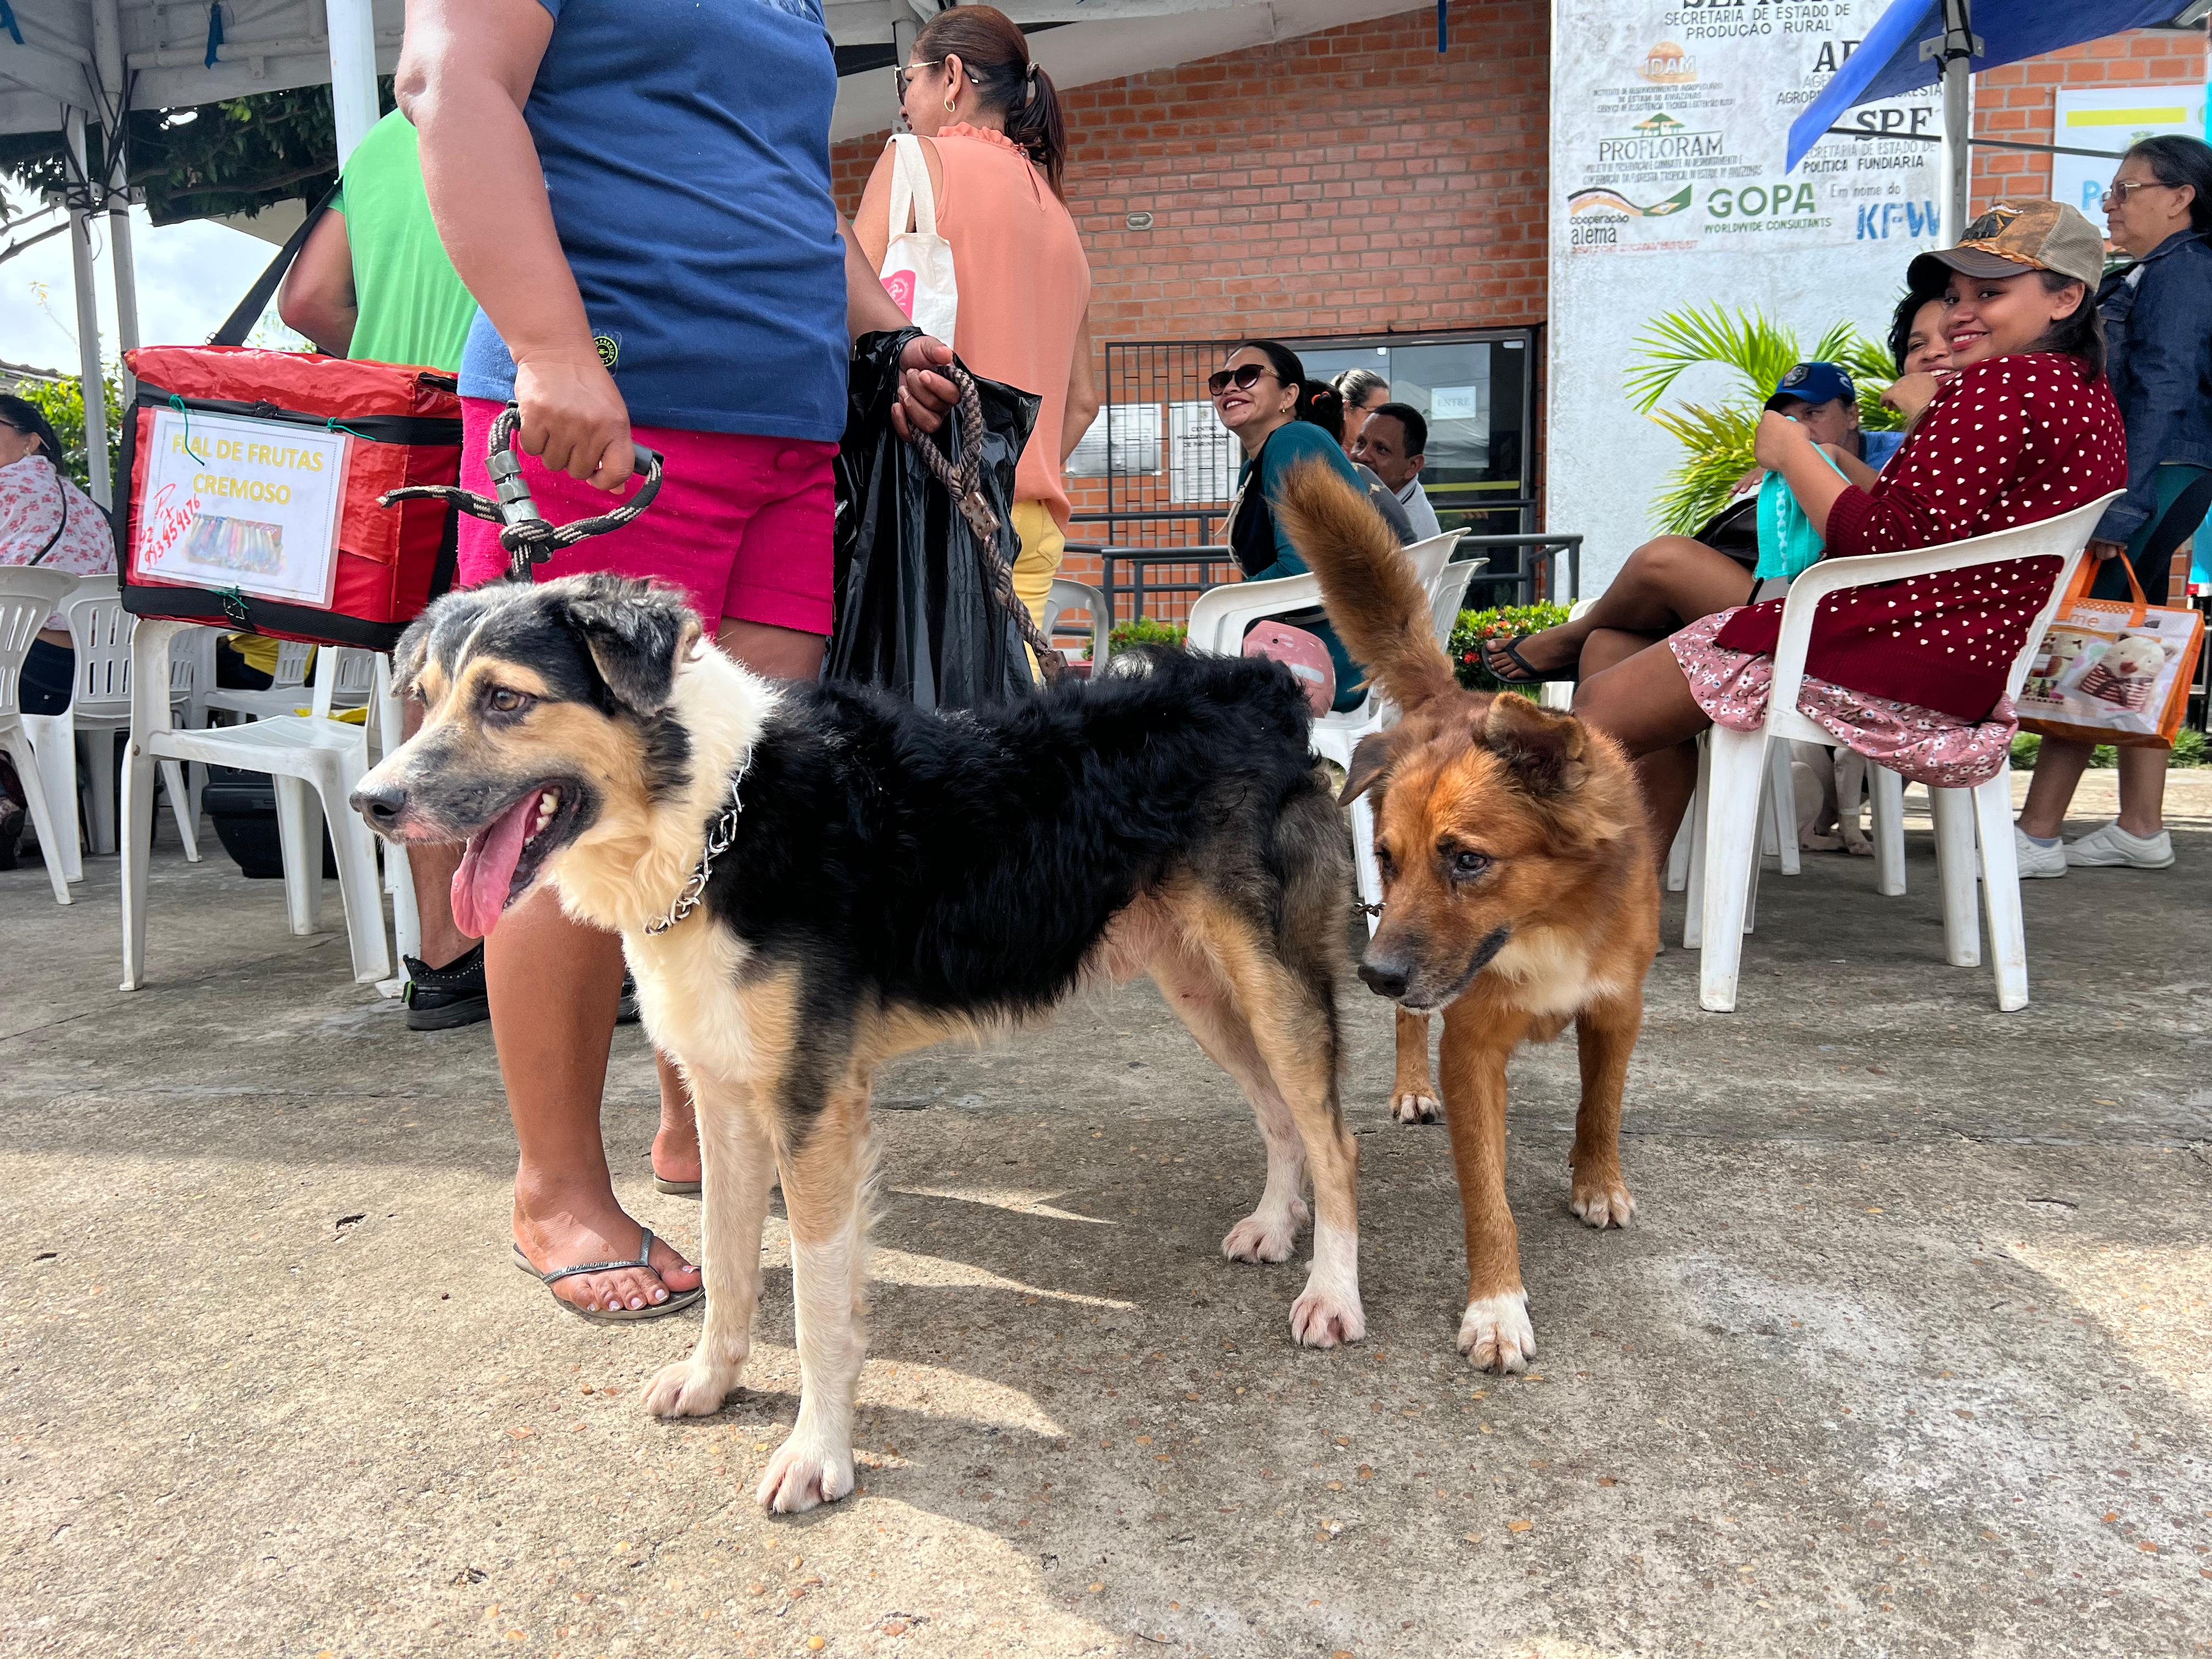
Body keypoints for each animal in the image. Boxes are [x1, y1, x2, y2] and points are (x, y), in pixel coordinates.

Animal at [352, 575, 1353, 1522]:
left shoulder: (812, 1108)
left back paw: (1334, 1294)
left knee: (1332, 1137)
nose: (371, 802)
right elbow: (725, 1261)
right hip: (1201, 987)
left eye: (505, 699)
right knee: (1279, 1114)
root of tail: (1260, 687)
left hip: (1269, 983)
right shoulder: (724, 1099)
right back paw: (1275, 1224)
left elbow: (817, 1308)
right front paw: (713, 1381)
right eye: (425, 698)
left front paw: (817, 1454)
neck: (716, 815)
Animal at [1274, 458, 1654, 1380]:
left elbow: (1602, 1104)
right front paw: (1497, 1307)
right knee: (1414, 1028)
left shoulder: (1618, 1008)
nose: (1375, 975)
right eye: (1394, 860)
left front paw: (1597, 1181)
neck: (1546, 925)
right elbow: (1486, 1193)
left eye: (1470, 861)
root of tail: (1455, 697)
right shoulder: (1471, 1045)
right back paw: (1409, 1084)